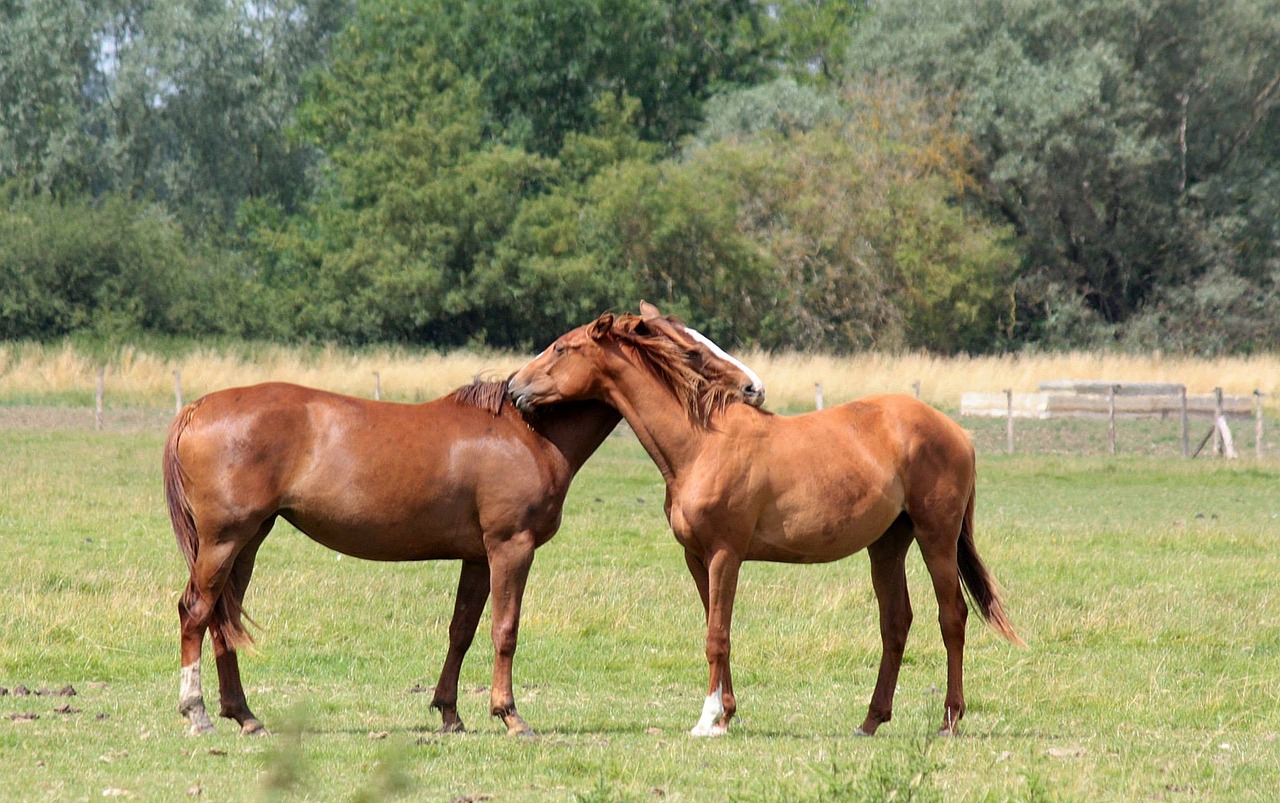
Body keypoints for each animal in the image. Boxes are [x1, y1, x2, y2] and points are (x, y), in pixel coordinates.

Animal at [160, 317, 757, 737]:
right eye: (690, 348)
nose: (753, 388)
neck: (527, 433)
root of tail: (196, 408)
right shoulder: (510, 548)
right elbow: (504, 630)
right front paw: (510, 715)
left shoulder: (477, 555)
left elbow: (462, 630)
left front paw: (449, 713)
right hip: (225, 540)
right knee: (196, 611)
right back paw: (198, 713)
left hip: (248, 541)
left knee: (221, 620)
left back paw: (245, 716)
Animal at [509, 304, 1018, 737]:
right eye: (691, 349)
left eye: (562, 348)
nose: (514, 387)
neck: (702, 444)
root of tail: (958, 432)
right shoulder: (697, 558)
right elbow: (716, 627)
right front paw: (725, 714)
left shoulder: (725, 555)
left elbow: (717, 636)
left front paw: (708, 721)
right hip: (888, 544)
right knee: (896, 622)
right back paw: (870, 721)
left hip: (937, 538)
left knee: (952, 617)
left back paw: (949, 721)